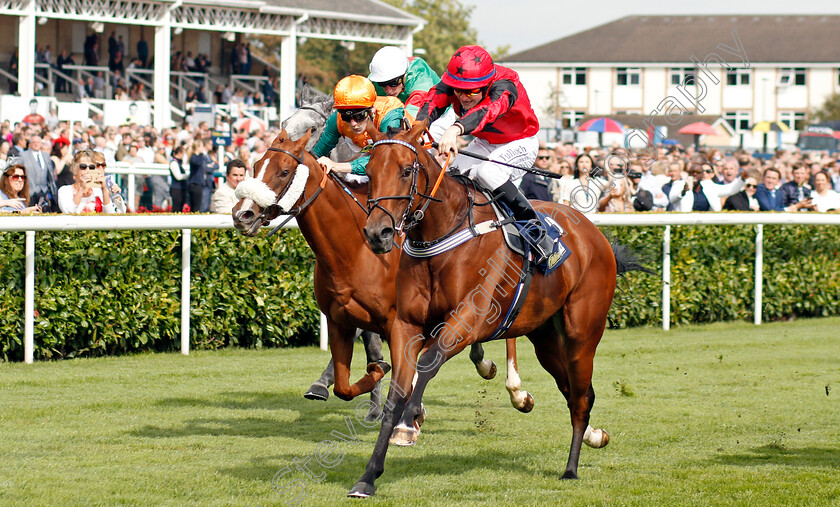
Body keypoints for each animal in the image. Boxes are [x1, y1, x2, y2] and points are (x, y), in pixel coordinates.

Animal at [231, 130, 532, 416]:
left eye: (284, 171)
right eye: (255, 165)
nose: (242, 214)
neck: (354, 250)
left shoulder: (396, 321)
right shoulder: (340, 320)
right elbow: (345, 385)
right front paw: (372, 375)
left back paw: (516, 390)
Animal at [348, 121, 648, 498]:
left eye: (405, 170)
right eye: (369, 172)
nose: (378, 234)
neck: (442, 230)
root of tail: (596, 236)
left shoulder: (469, 320)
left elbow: (429, 361)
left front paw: (409, 421)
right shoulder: (406, 324)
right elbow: (395, 393)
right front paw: (368, 476)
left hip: (582, 334)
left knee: (580, 397)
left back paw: (571, 469)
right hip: (544, 338)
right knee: (574, 391)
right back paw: (594, 435)